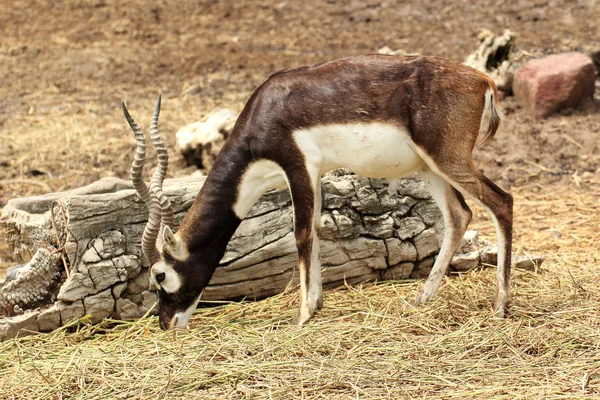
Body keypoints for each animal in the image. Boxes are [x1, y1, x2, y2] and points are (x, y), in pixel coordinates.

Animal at [122, 54, 510, 330]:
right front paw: (318, 304)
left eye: (160, 274)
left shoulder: (298, 166)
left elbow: (302, 233)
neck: (266, 111)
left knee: (501, 202)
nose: (166, 323)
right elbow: (319, 232)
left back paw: (501, 307)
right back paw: (422, 298)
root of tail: (483, 80)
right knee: (459, 215)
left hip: (447, 160)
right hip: (429, 167)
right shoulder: (317, 173)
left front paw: (303, 316)